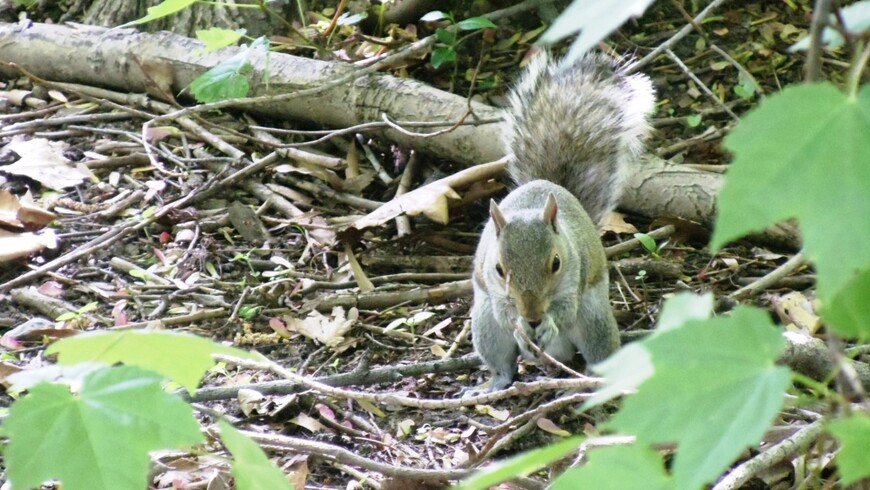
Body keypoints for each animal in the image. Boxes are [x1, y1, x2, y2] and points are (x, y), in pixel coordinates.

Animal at [470, 49, 656, 392]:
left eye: (556, 263)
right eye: (499, 269)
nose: (532, 315)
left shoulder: (574, 278)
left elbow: (564, 309)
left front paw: (548, 322)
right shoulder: (493, 290)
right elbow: (505, 313)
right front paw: (520, 325)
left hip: (594, 320)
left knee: (596, 349)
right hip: (485, 324)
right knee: (502, 362)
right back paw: (496, 382)